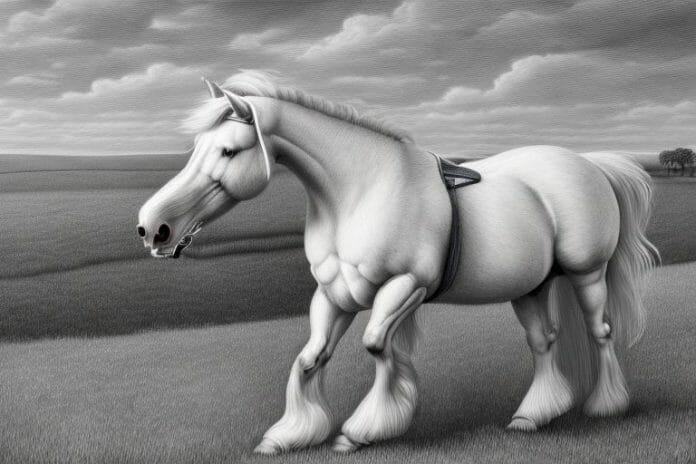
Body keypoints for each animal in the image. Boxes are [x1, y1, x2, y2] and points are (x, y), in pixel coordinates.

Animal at [137, 71, 659, 455]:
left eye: (228, 150)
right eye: (196, 149)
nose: (153, 228)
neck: (360, 192)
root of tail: (589, 164)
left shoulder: (405, 286)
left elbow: (377, 348)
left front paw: (362, 431)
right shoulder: (334, 296)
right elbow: (310, 358)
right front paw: (288, 436)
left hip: (587, 274)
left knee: (601, 333)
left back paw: (606, 406)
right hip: (530, 286)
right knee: (543, 342)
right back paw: (532, 416)